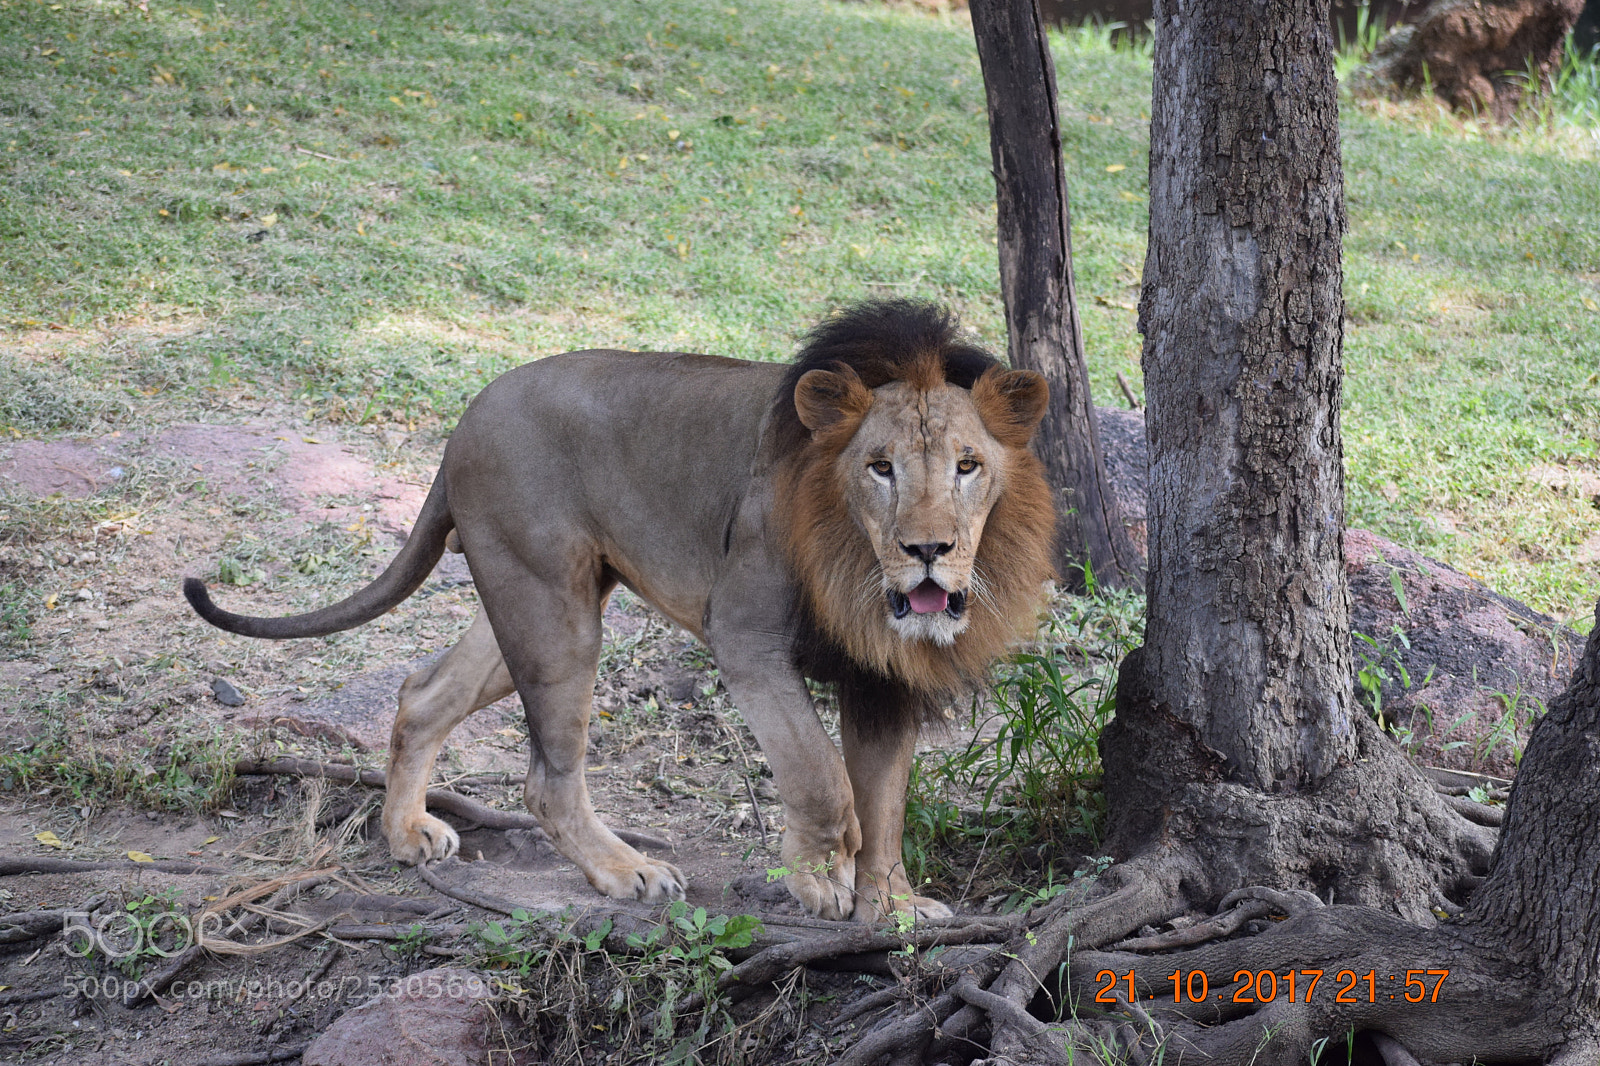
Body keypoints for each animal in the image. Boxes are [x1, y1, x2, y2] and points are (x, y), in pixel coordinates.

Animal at [184, 301, 1056, 921]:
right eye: (880, 468)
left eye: (968, 466)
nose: (928, 549)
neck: (859, 566)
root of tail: (469, 413)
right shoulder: (745, 637)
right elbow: (822, 779)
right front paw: (818, 881)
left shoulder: (884, 675)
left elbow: (886, 802)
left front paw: (895, 905)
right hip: (554, 613)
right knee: (547, 778)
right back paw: (625, 870)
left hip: (530, 598)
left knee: (422, 694)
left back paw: (405, 835)